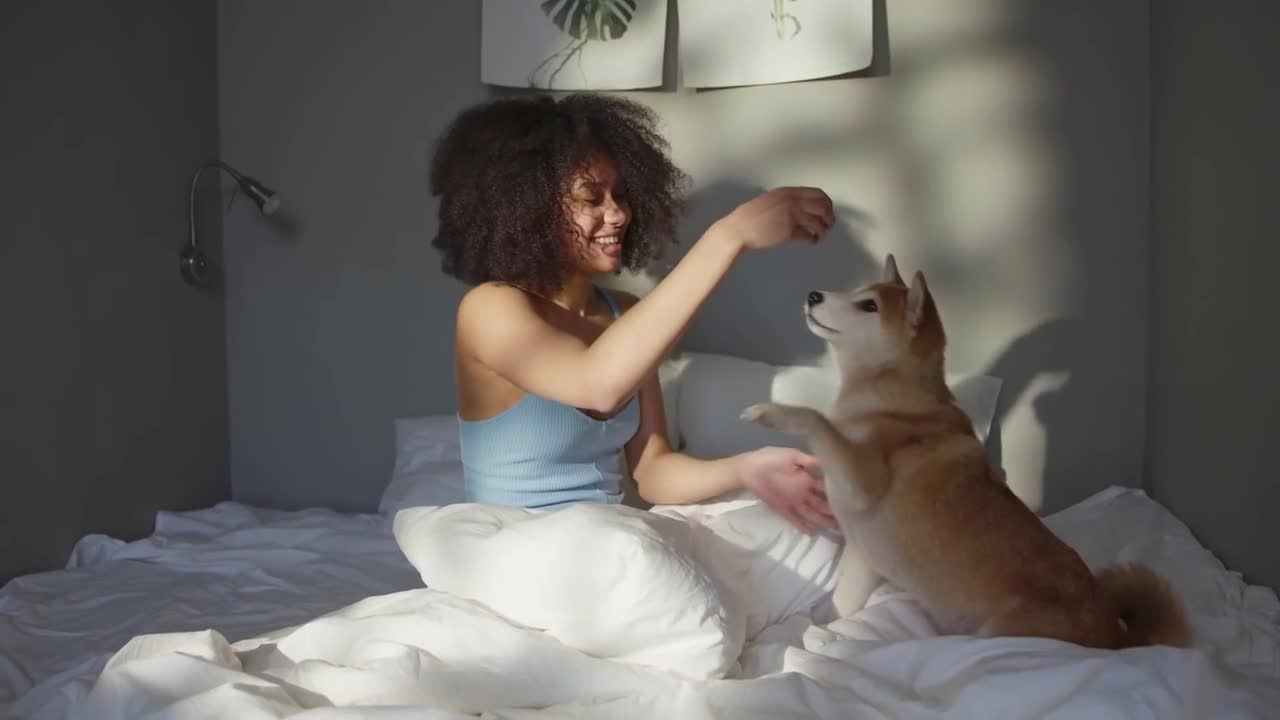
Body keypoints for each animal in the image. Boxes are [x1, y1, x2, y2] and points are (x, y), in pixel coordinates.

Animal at [742, 254, 1187, 648]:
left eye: (868, 305)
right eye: (857, 290)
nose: (813, 295)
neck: (891, 401)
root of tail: (1114, 635)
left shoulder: (862, 483)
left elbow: (818, 420)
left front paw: (774, 413)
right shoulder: (862, 560)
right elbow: (836, 609)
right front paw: (809, 631)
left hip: (998, 636)